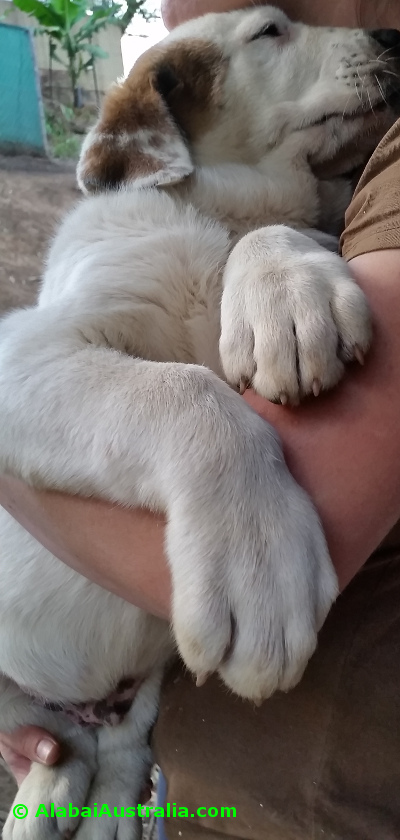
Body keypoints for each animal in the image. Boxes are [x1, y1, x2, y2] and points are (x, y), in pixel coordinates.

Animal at [0, 8, 398, 840]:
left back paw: (96, 805)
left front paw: (288, 289)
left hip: (138, 689)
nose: (394, 41)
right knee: (49, 738)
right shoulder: (24, 352)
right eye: (271, 29)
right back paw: (38, 800)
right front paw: (259, 558)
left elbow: (275, 238)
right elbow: (187, 389)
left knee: (107, 745)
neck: (209, 205)